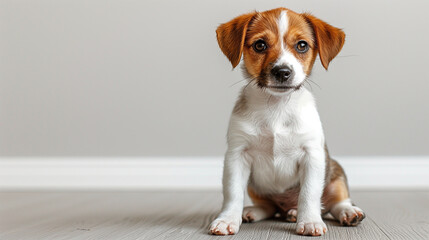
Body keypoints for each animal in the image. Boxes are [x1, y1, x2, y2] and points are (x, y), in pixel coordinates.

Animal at [209, 7, 362, 236]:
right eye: (260, 45)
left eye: (302, 45)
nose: (282, 72)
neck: (277, 108)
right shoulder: (237, 155)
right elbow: (232, 193)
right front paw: (227, 219)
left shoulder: (312, 156)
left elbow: (308, 194)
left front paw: (309, 221)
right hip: (257, 188)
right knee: (269, 207)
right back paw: (256, 211)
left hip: (335, 175)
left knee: (335, 202)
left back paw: (346, 212)